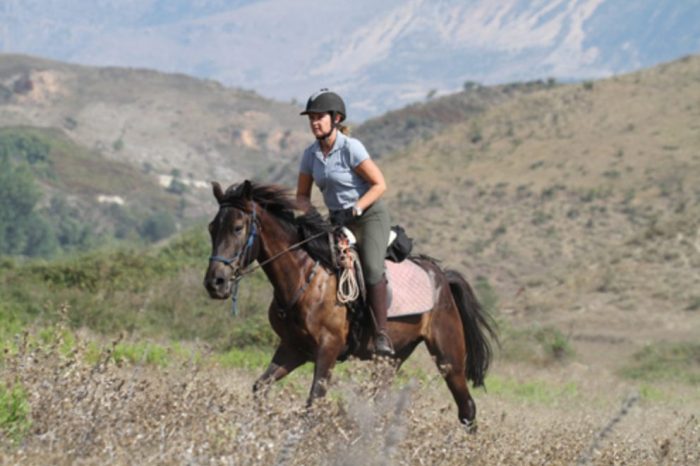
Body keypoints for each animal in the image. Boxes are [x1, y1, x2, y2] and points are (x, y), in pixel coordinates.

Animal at [202, 180, 498, 428]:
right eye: (212, 228)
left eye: (237, 228)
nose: (215, 282)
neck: (305, 277)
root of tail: (442, 277)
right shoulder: (293, 348)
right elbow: (260, 387)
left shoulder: (328, 348)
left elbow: (313, 402)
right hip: (391, 359)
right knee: (381, 402)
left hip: (449, 358)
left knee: (467, 408)